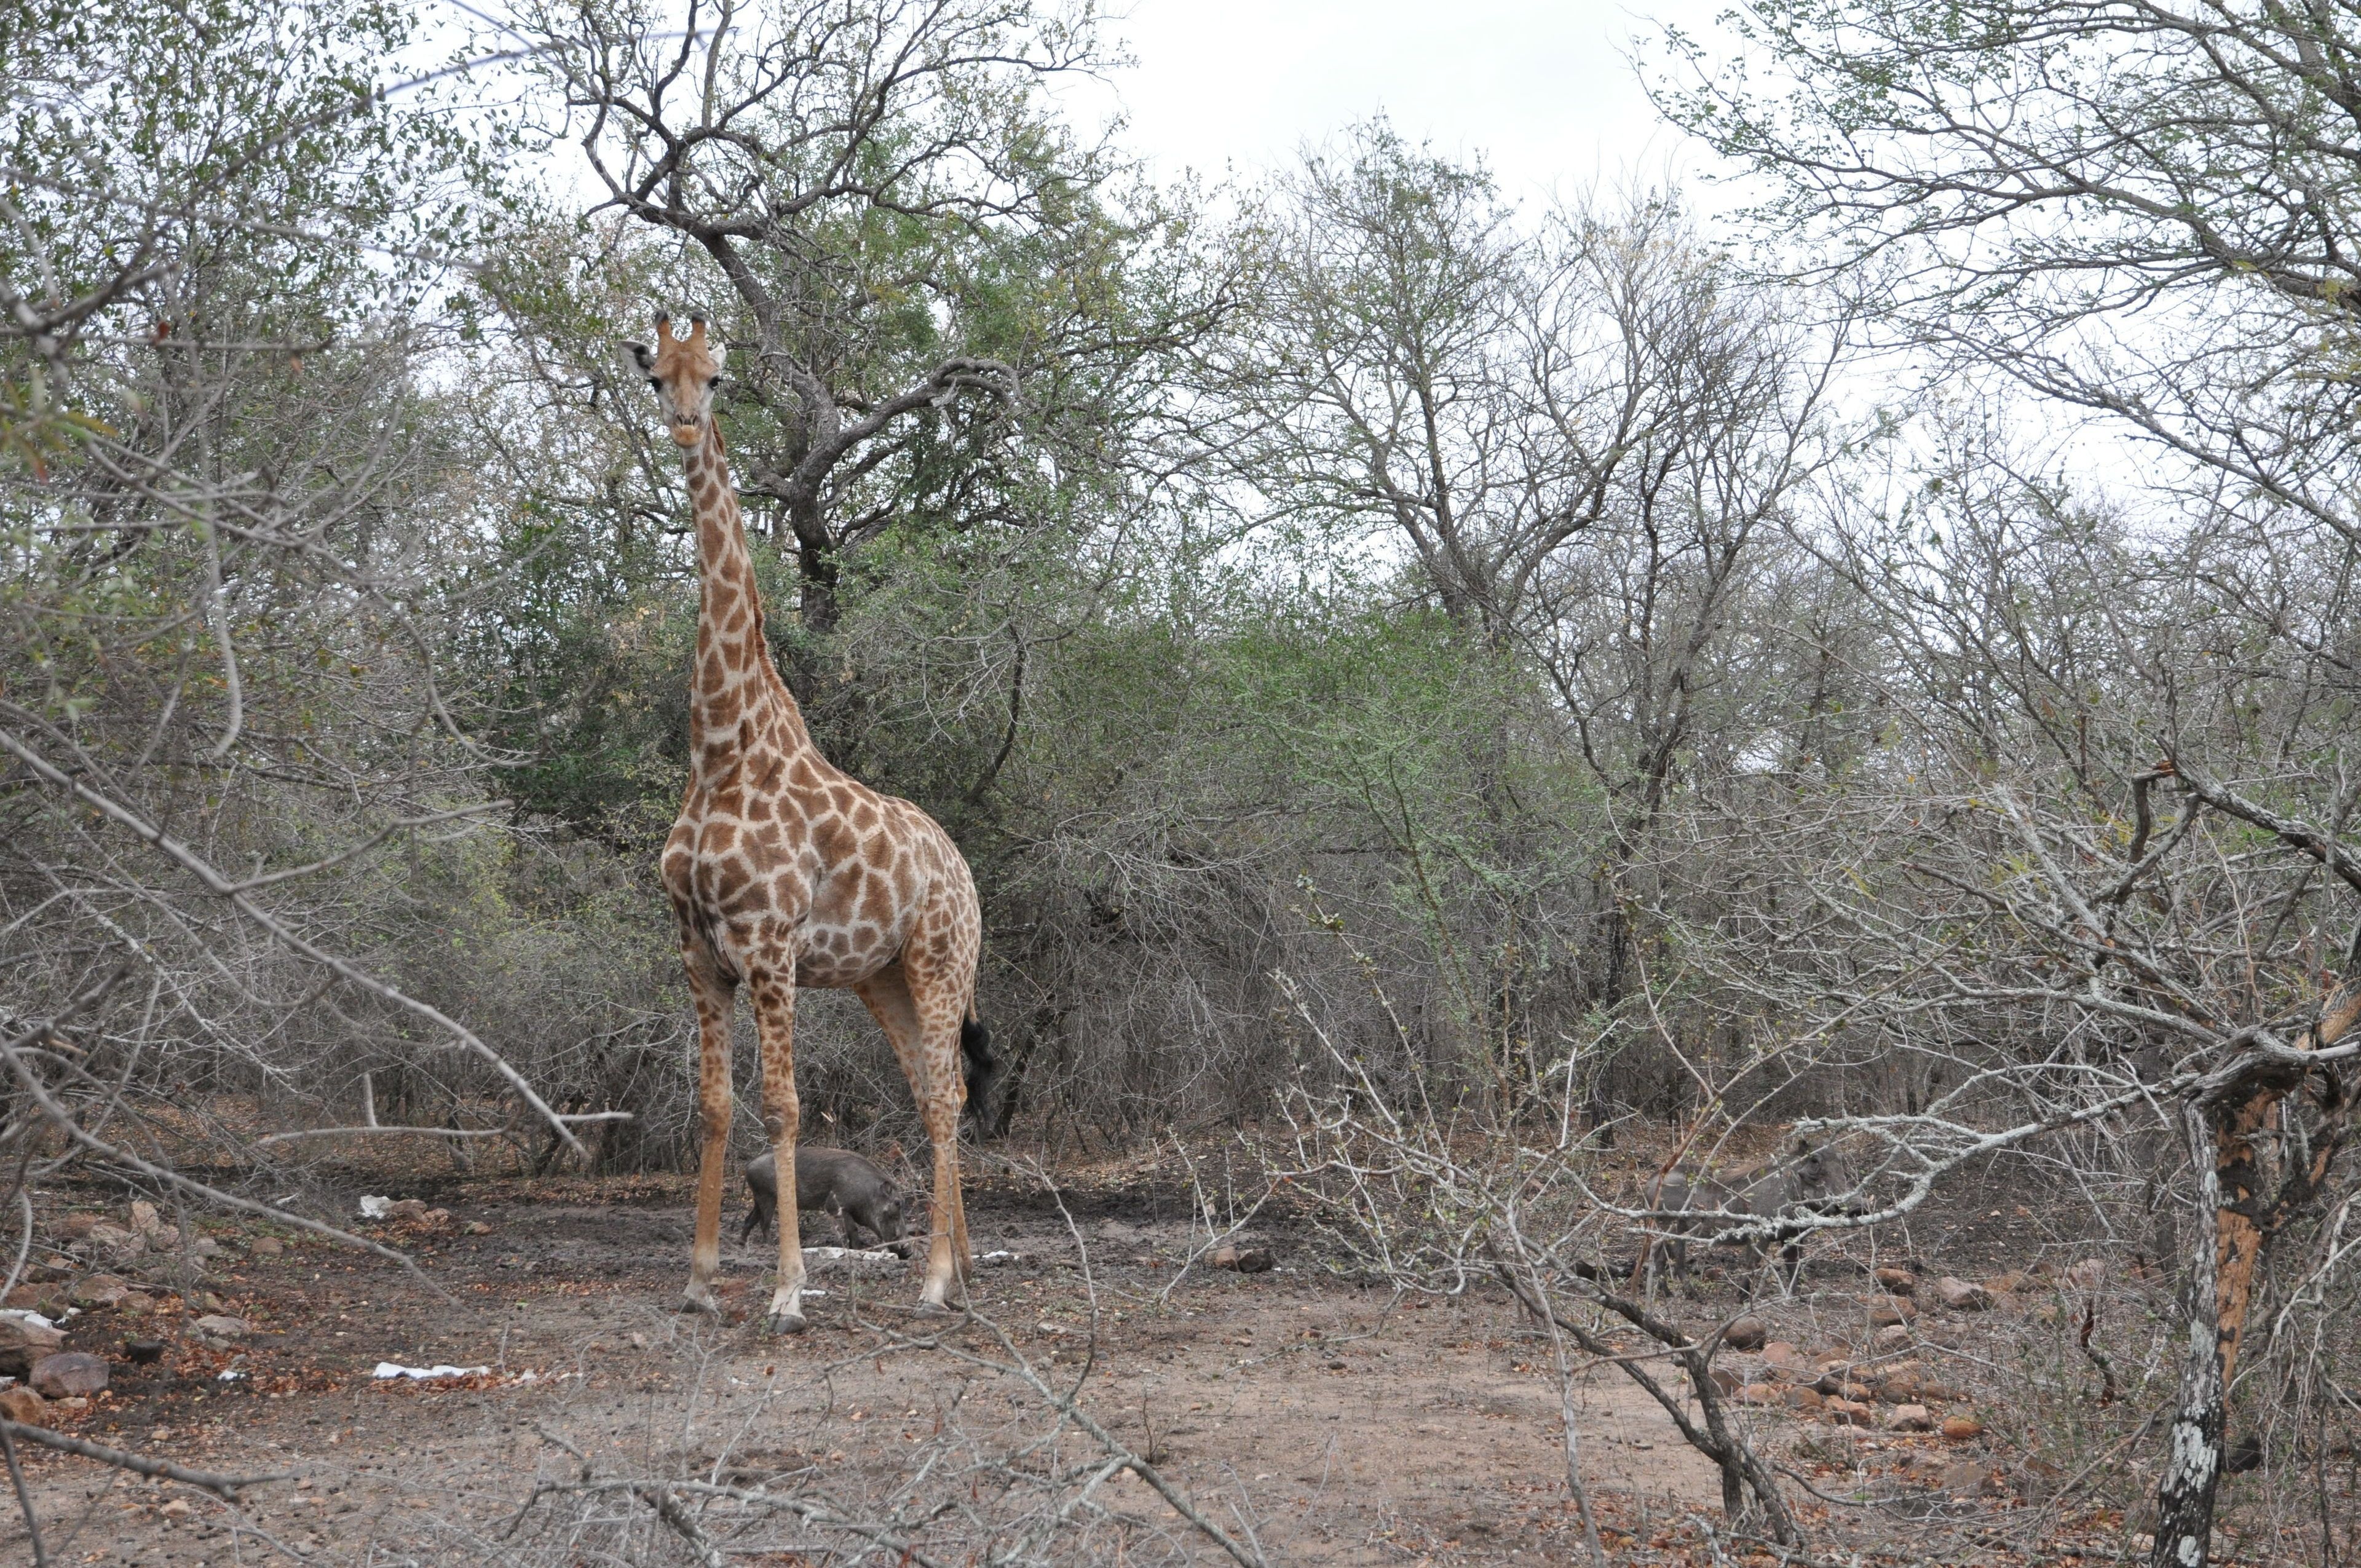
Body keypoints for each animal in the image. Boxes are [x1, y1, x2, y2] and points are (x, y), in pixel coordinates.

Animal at [625, 312, 1000, 1332]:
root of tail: (964, 871)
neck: (720, 748)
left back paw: (936, 1277)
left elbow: (786, 1106)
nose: (684, 426)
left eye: (715, 377)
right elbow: (717, 1105)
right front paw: (699, 1278)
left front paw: (790, 1291)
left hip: (940, 960)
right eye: (656, 374)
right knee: (936, 1087)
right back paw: (959, 1267)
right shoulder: (696, 949)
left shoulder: (768, 945)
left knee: (947, 1094)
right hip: (885, 977)